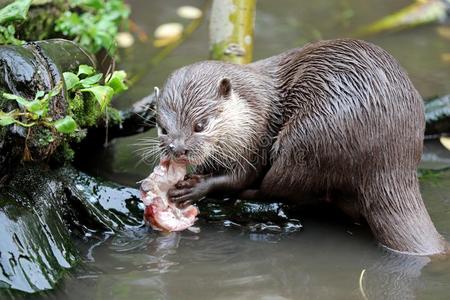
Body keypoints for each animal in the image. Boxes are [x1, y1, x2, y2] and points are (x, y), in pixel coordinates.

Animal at [154, 38, 446, 255]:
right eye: (162, 128)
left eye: (200, 125)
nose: (178, 149)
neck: (250, 108)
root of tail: (391, 161)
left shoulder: (255, 138)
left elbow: (237, 177)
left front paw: (195, 187)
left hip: (307, 139)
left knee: (282, 188)